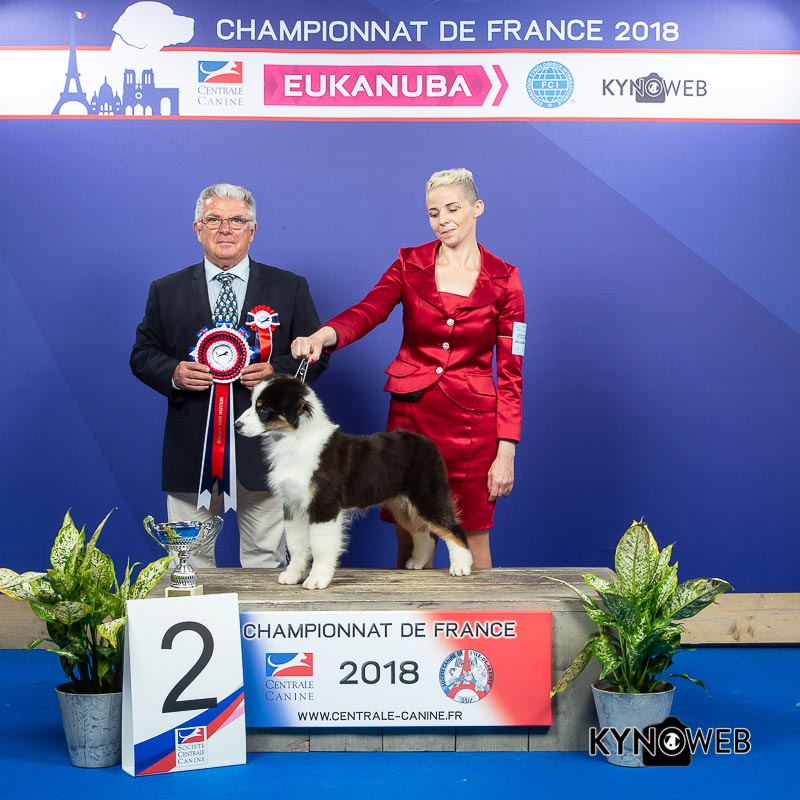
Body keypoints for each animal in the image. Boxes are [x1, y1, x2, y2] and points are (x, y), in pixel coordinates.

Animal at [235, 374, 473, 589]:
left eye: (263, 409)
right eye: (254, 404)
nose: (237, 425)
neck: (295, 441)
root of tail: (426, 441)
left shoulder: (324, 504)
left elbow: (320, 545)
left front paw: (316, 580)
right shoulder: (292, 504)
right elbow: (296, 544)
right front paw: (292, 575)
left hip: (427, 494)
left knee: (452, 528)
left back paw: (461, 566)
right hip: (403, 504)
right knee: (423, 533)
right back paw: (417, 562)